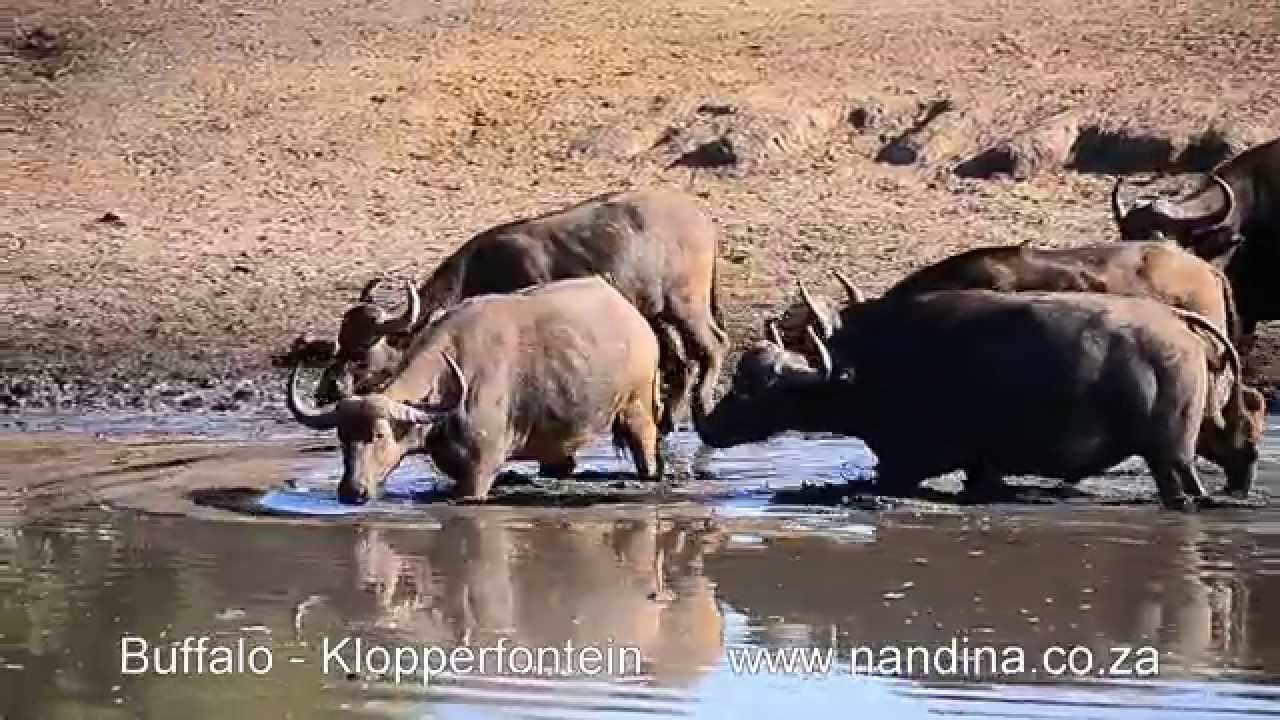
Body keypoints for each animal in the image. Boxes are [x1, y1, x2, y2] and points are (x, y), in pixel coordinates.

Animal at [286, 277, 664, 504]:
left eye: (378, 435)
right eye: (342, 438)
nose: (352, 491)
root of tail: (633, 316)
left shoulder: (480, 472)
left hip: (637, 407)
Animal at [312, 188, 727, 434]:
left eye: (362, 353)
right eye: (340, 344)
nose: (327, 388)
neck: (479, 271)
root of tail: (700, 218)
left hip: (686, 304)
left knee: (712, 346)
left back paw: (701, 407)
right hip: (657, 314)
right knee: (681, 361)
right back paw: (670, 419)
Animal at [699, 290, 1266, 510]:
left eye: (755, 387)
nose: (706, 425)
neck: (862, 370)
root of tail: (1176, 323)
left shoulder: (907, 463)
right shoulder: (981, 466)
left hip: (1170, 456)